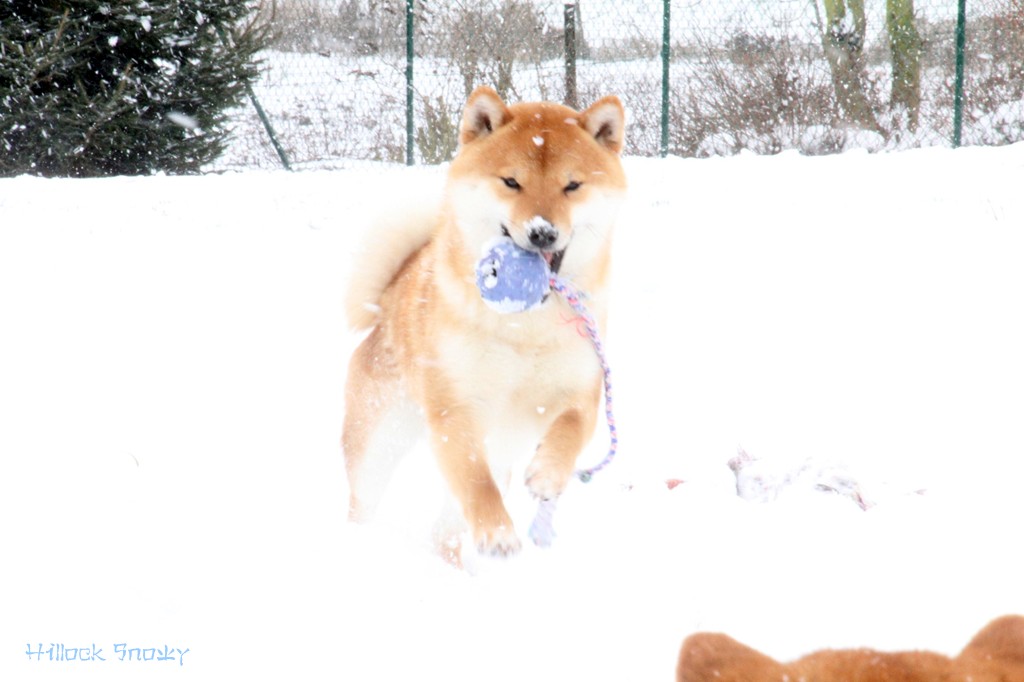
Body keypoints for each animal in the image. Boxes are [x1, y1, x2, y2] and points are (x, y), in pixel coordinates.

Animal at [344, 84, 626, 561]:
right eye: (512, 182)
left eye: (572, 185)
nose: (543, 232)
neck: (525, 324)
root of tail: (386, 302)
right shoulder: (455, 407)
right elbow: (476, 483)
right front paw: (496, 532)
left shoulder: (580, 391)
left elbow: (570, 430)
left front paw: (548, 473)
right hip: (378, 445)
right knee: (366, 502)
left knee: (444, 533)